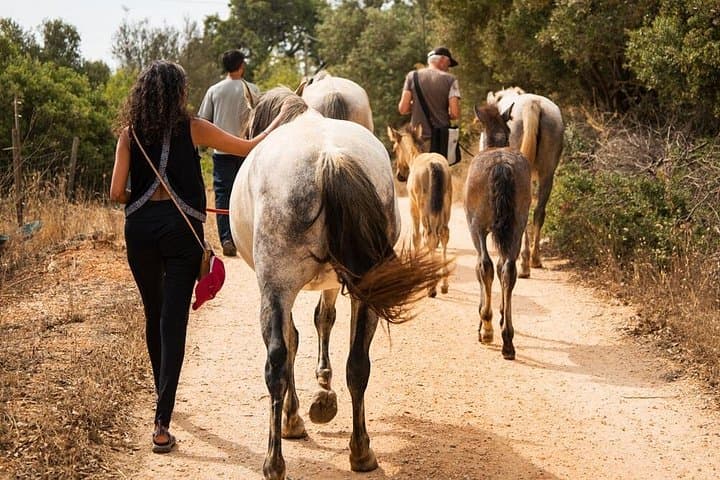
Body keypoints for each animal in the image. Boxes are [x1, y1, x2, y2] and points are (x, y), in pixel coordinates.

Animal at [229, 87, 443, 480]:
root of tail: (329, 159)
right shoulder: (331, 282)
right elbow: (323, 322)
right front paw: (323, 394)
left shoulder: (284, 290)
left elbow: (298, 336)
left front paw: (300, 412)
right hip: (367, 290)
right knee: (358, 365)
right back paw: (361, 451)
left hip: (276, 288)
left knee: (276, 363)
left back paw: (275, 460)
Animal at [387, 123, 452, 297]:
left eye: (394, 148)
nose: (400, 175)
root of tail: (434, 166)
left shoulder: (413, 206)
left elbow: (416, 237)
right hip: (445, 205)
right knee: (443, 233)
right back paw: (444, 283)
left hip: (424, 206)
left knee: (428, 234)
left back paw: (431, 287)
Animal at [465, 103, 531, 360]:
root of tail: (501, 165)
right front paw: (503, 315)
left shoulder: (478, 230)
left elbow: (481, 269)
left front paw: (485, 322)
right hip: (517, 226)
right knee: (508, 270)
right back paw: (508, 340)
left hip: (477, 227)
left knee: (485, 266)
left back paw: (488, 328)